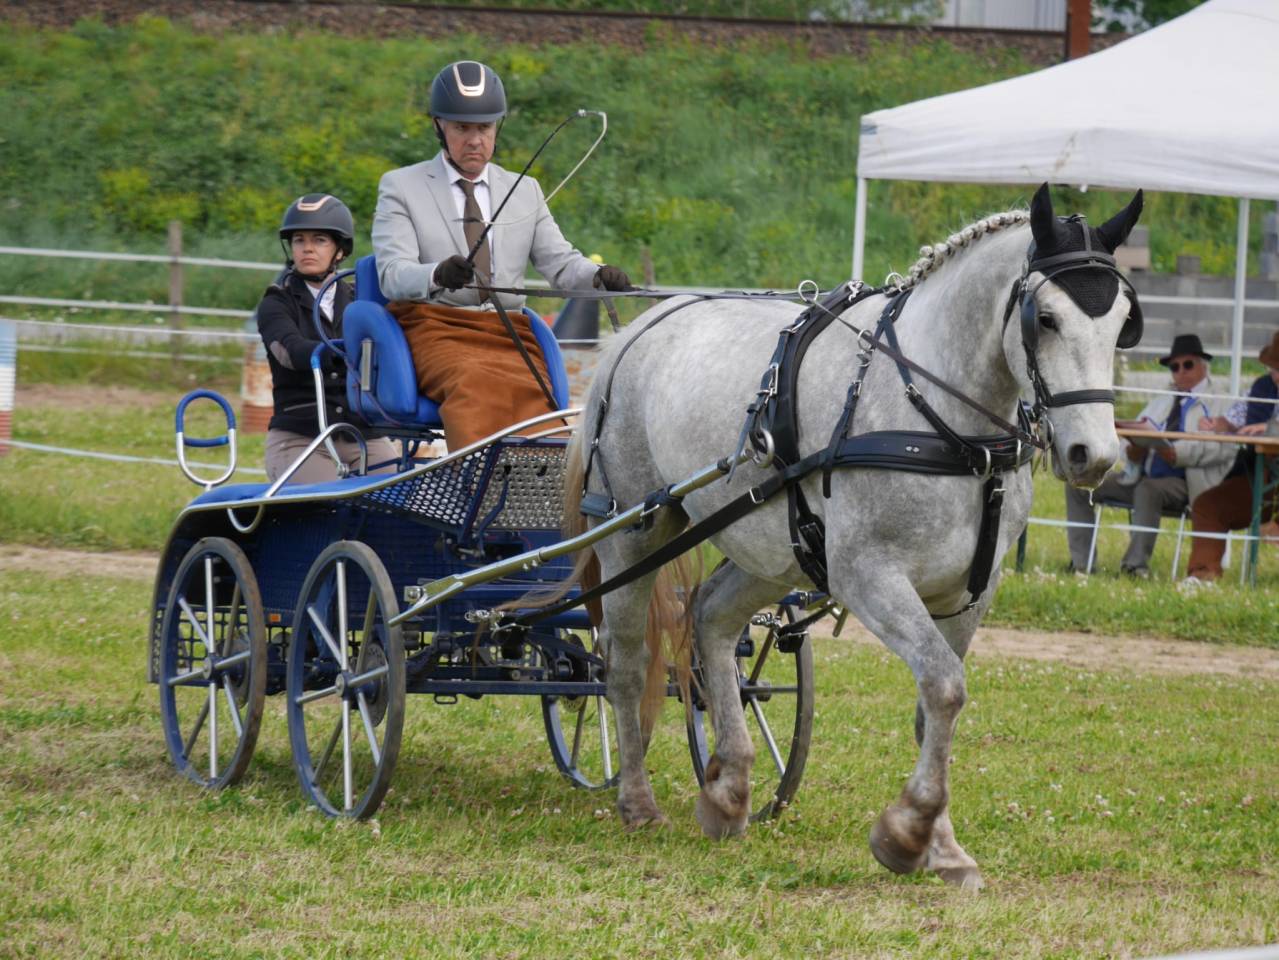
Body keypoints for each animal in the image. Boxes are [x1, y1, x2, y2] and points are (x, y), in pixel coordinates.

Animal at [564, 184, 1144, 889]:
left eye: (1123, 322)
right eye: (1048, 319)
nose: (1095, 455)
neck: (943, 422)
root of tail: (638, 328)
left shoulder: (971, 591)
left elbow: (933, 704)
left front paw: (943, 848)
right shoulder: (868, 574)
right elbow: (945, 685)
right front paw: (908, 832)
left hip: (773, 549)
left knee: (711, 618)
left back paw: (729, 789)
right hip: (634, 529)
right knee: (624, 664)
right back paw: (638, 801)